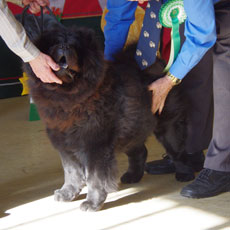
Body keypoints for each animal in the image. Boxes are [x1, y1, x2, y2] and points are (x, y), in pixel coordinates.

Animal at [22, 14, 190, 211]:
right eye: (55, 43)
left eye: (74, 46)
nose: (64, 46)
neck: (69, 98)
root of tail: (158, 65)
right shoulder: (64, 144)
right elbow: (71, 172)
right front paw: (67, 193)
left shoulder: (95, 145)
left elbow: (94, 178)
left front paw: (92, 203)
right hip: (133, 129)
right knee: (140, 152)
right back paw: (132, 176)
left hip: (167, 127)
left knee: (178, 151)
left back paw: (185, 175)